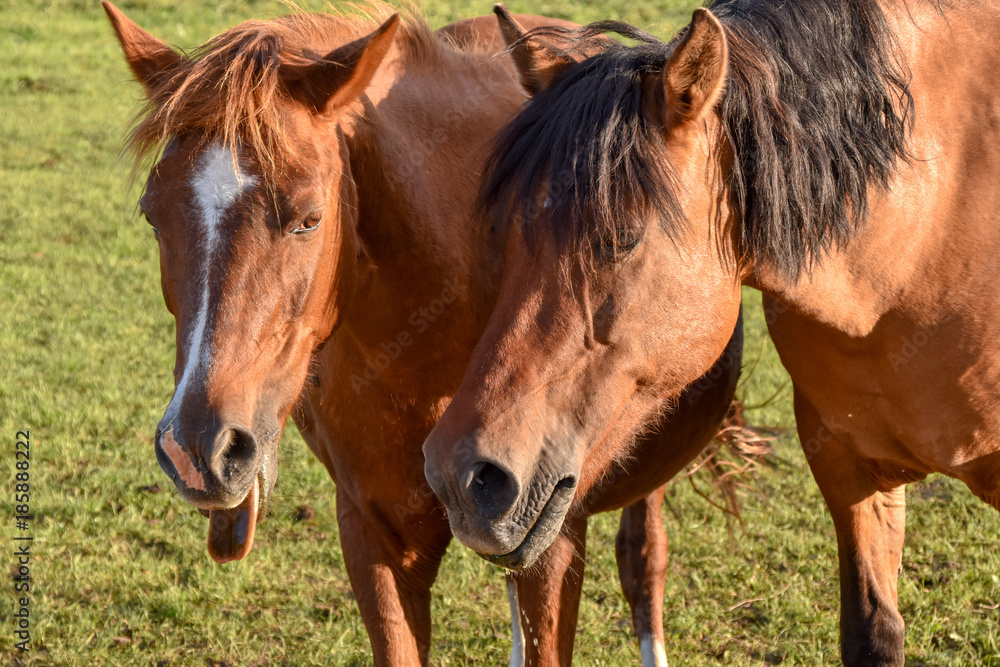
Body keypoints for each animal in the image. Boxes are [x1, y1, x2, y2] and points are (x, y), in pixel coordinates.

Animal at [103, 2, 744, 665]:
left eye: (309, 219)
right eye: (153, 216)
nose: (199, 450)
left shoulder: (553, 534)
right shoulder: (377, 535)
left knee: (643, 561)